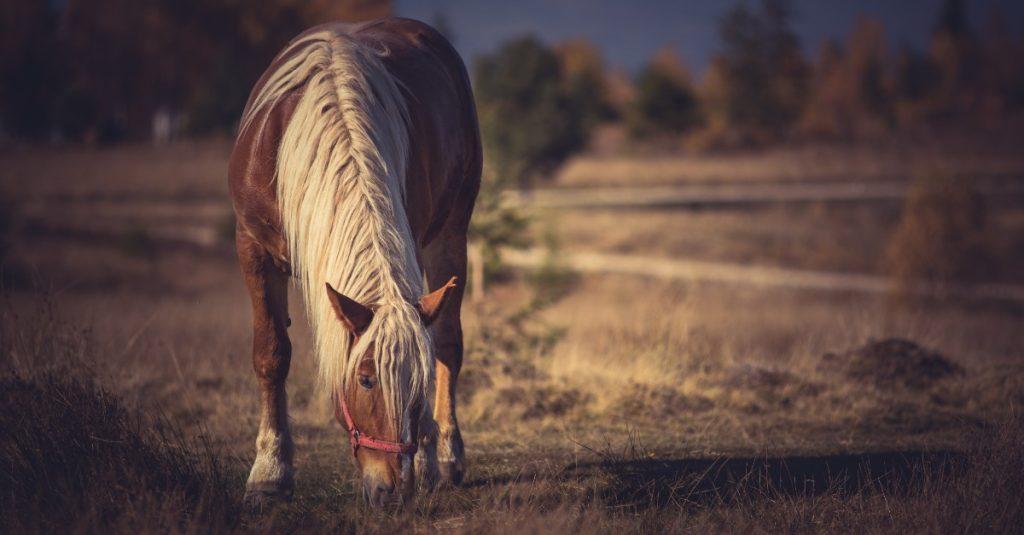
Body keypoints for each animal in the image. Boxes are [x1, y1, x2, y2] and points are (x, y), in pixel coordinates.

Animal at [228, 17, 479, 508]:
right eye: (365, 380)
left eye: (418, 385)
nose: (393, 491)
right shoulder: (252, 247)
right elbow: (271, 354)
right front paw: (269, 473)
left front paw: (427, 458)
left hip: (450, 232)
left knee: (447, 341)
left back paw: (443, 456)